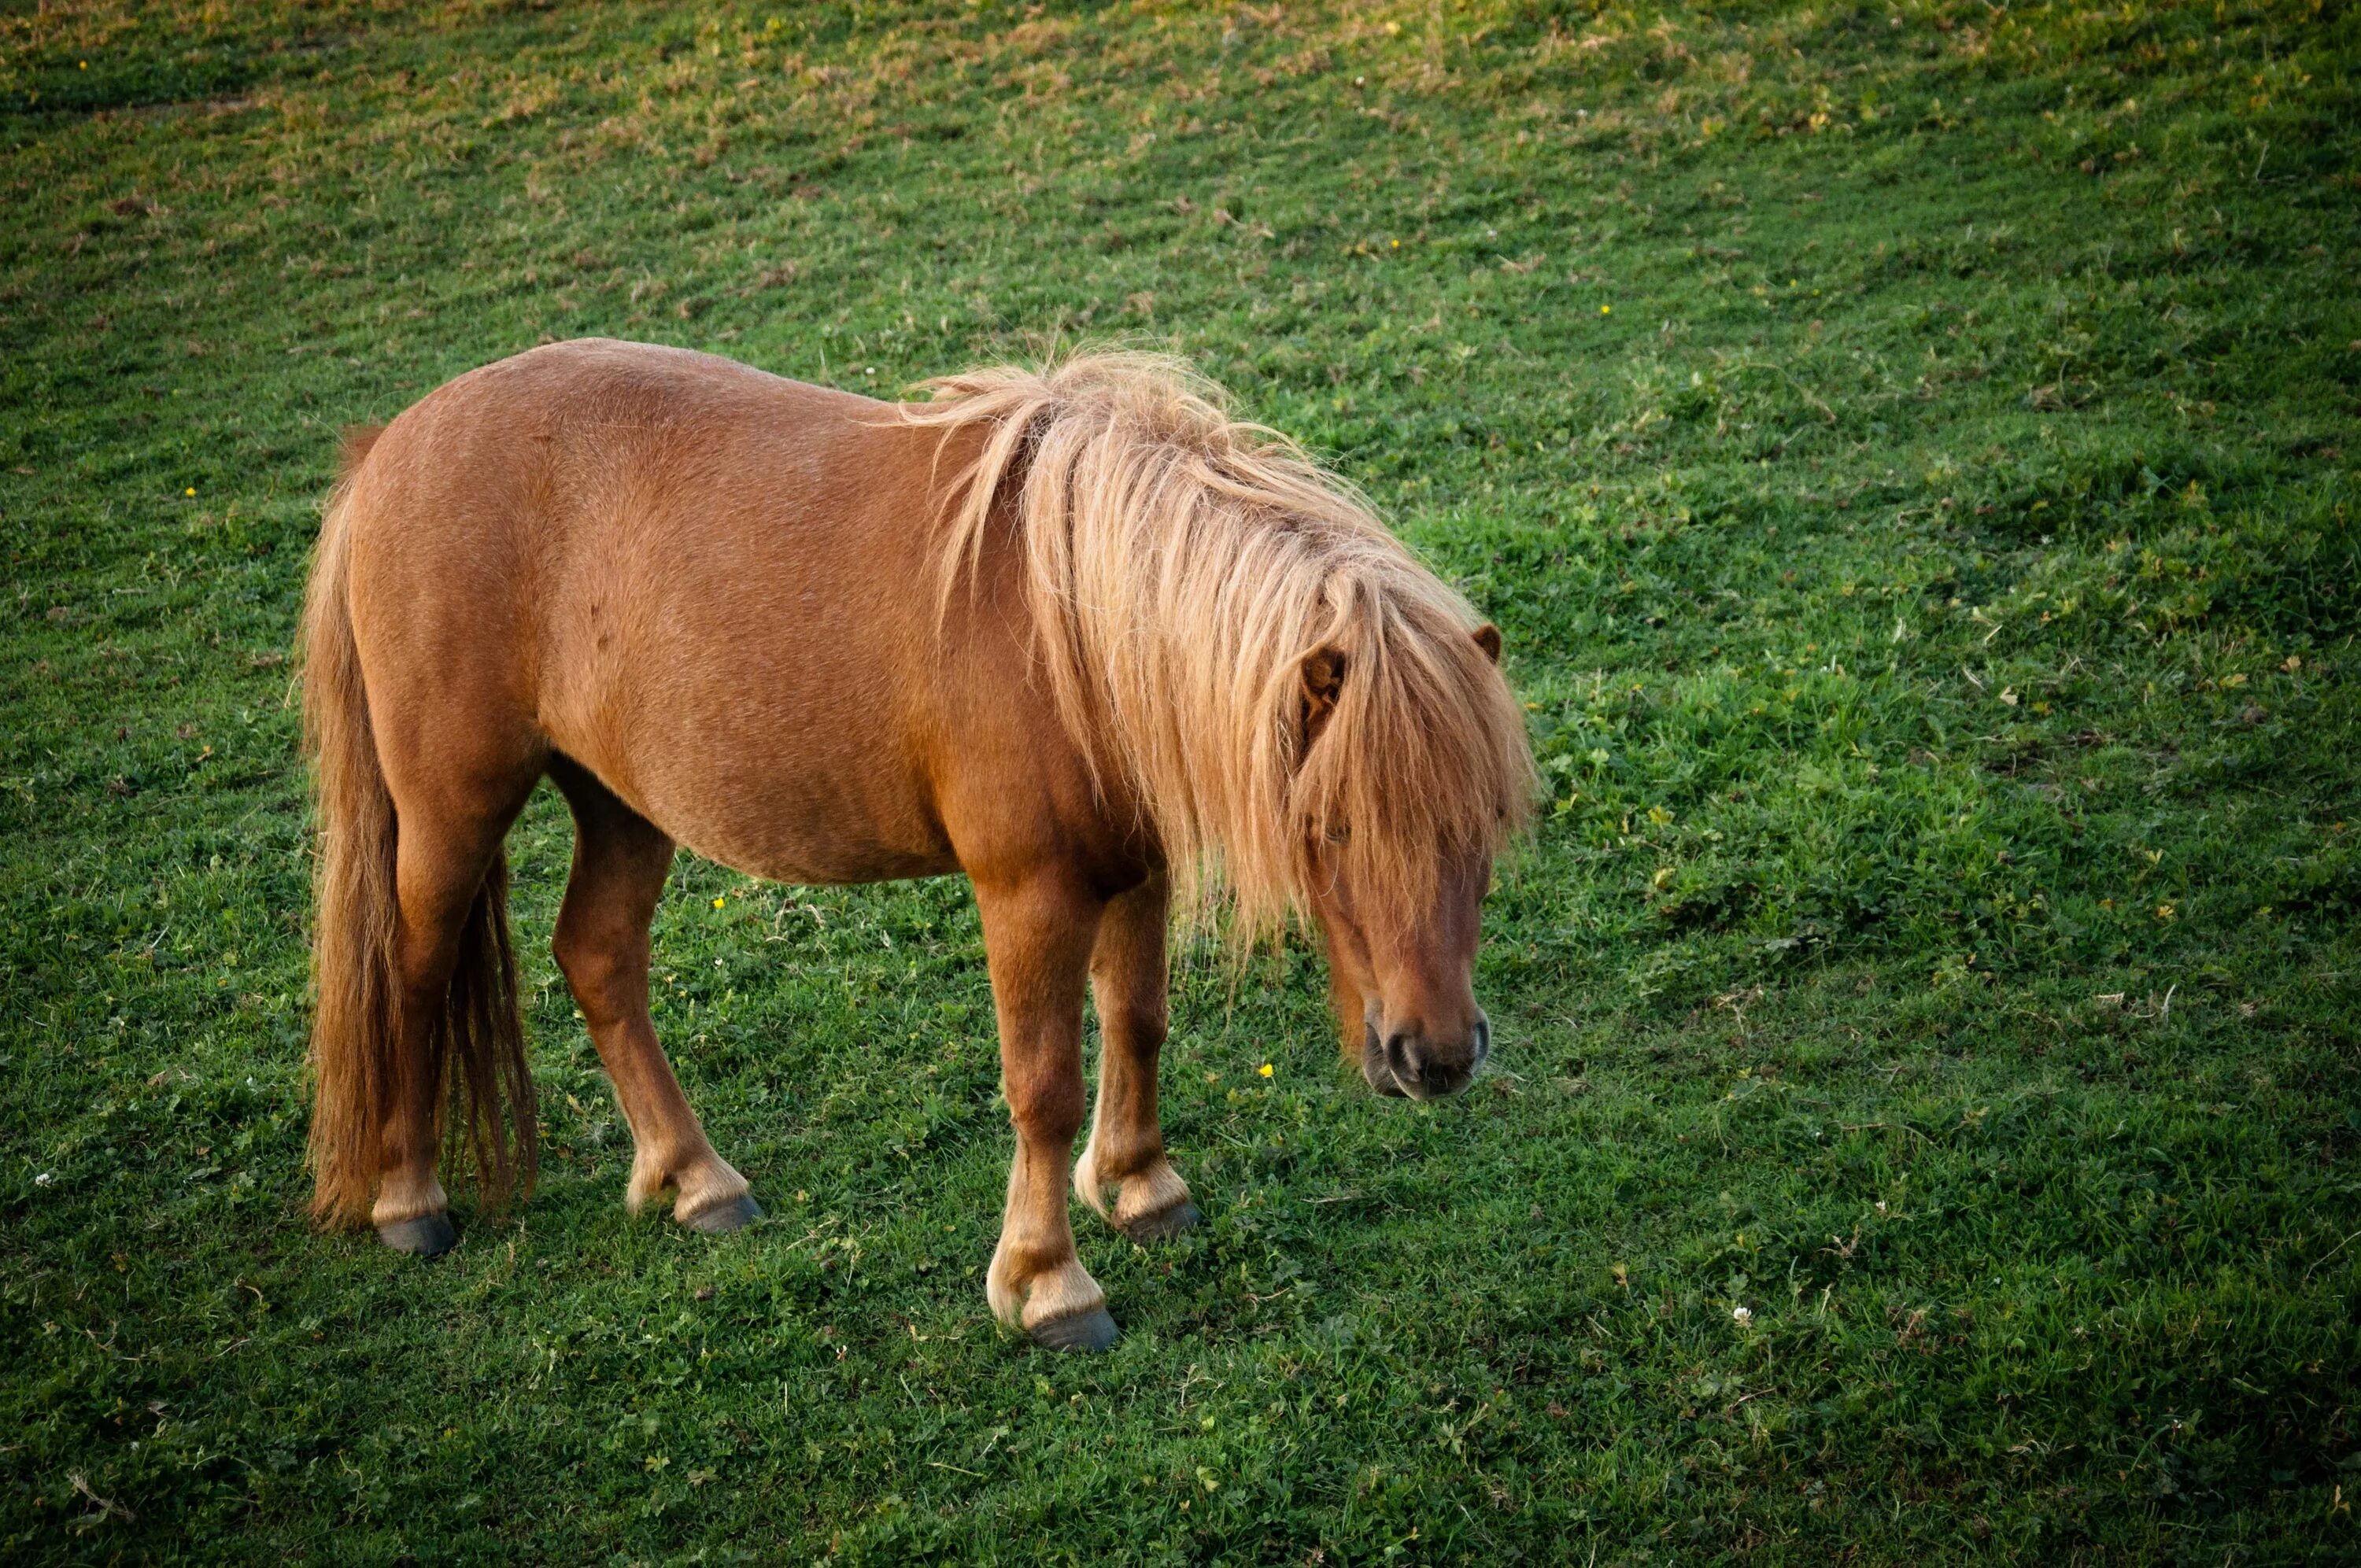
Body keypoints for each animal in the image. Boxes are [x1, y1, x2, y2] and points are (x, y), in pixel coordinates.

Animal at [295, 340, 1539, 1350]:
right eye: (1330, 826)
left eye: (1484, 821)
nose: (1436, 1056)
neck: (1074, 629)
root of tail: (388, 449)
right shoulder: (1029, 893)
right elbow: (1043, 1084)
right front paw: (1047, 1287)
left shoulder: (1134, 869)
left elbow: (1138, 1023)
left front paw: (1141, 1189)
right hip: (453, 809)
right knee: (412, 972)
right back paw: (409, 1201)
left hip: (620, 803)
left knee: (598, 958)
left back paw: (697, 1181)